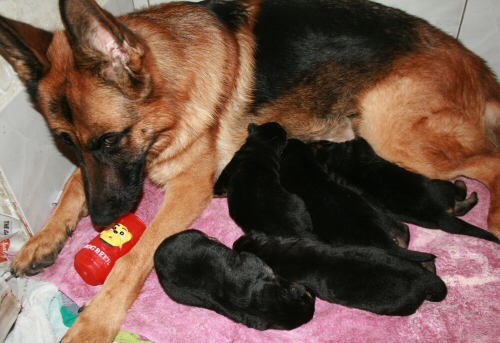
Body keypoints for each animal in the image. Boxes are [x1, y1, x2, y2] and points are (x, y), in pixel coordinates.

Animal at [310, 138, 498, 245]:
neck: (336, 158)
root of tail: (438, 214)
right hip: (442, 187)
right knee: (460, 195)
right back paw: (463, 186)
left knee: (458, 209)